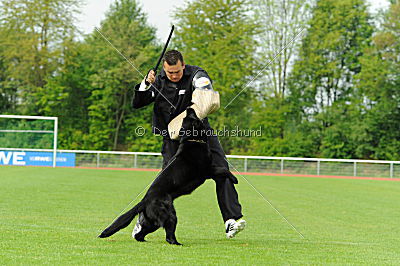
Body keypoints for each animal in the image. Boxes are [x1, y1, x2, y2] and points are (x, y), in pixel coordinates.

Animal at [99, 108, 212, 245]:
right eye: (192, 117)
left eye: (187, 117)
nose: (188, 108)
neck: (193, 140)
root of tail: (145, 200)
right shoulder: (205, 171)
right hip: (169, 215)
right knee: (169, 236)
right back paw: (177, 243)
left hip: (152, 222)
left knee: (140, 234)